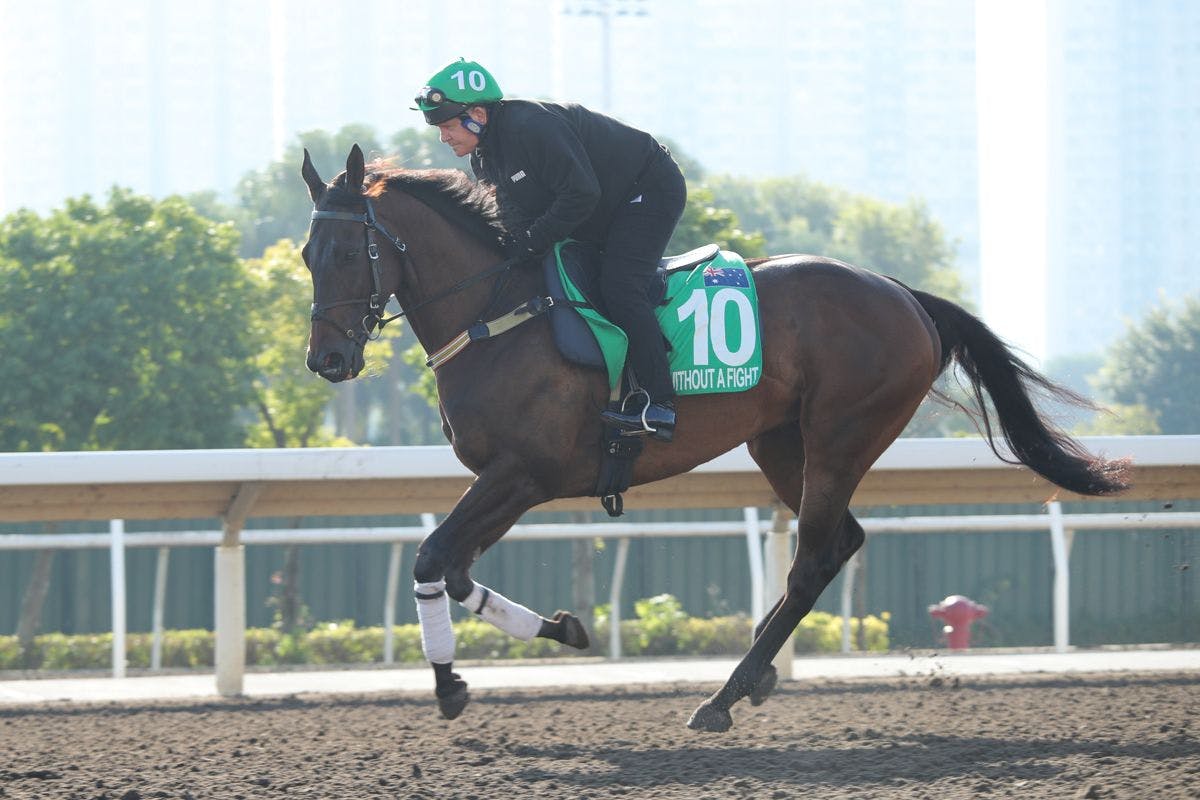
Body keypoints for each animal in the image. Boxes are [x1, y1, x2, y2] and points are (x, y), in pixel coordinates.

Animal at [300, 142, 1132, 734]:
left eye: (344, 253)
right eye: (307, 256)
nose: (327, 361)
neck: (499, 314)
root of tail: (904, 295)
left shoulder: (523, 474)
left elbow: (432, 557)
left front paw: (449, 685)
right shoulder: (511, 482)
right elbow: (456, 569)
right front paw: (566, 628)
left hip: (840, 433)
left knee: (812, 559)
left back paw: (724, 696)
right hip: (781, 442)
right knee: (840, 542)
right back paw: (754, 674)